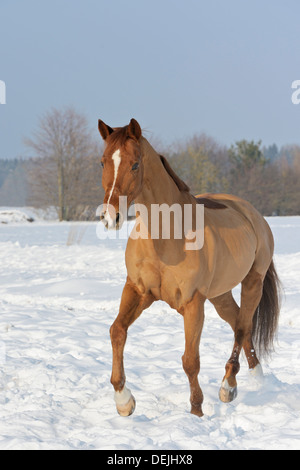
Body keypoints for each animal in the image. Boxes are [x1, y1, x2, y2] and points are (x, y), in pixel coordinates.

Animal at [97, 118, 280, 418]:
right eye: (102, 162)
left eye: (135, 164)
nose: (110, 217)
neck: (167, 236)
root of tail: (252, 214)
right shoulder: (137, 291)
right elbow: (117, 331)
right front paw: (124, 401)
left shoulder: (193, 303)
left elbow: (190, 360)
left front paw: (197, 411)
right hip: (220, 295)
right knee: (239, 324)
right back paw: (257, 377)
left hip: (252, 283)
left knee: (242, 328)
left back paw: (228, 387)